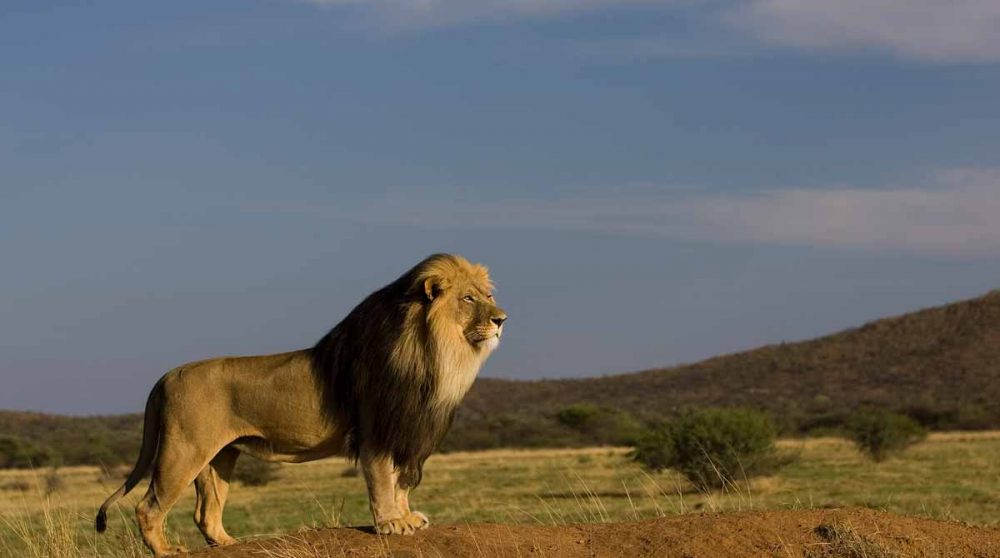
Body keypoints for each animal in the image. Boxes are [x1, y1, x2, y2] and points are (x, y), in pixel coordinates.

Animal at [95, 254, 506, 557]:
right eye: (469, 299)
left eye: (487, 296)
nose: (501, 319)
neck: (436, 353)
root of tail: (168, 374)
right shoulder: (376, 428)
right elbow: (381, 479)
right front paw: (390, 524)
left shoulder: (407, 432)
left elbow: (400, 482)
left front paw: (407, 518)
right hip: (183, 450)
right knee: (149, 506)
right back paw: (166, 551)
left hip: (219, 456)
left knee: (205, 512)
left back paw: (230, 543)